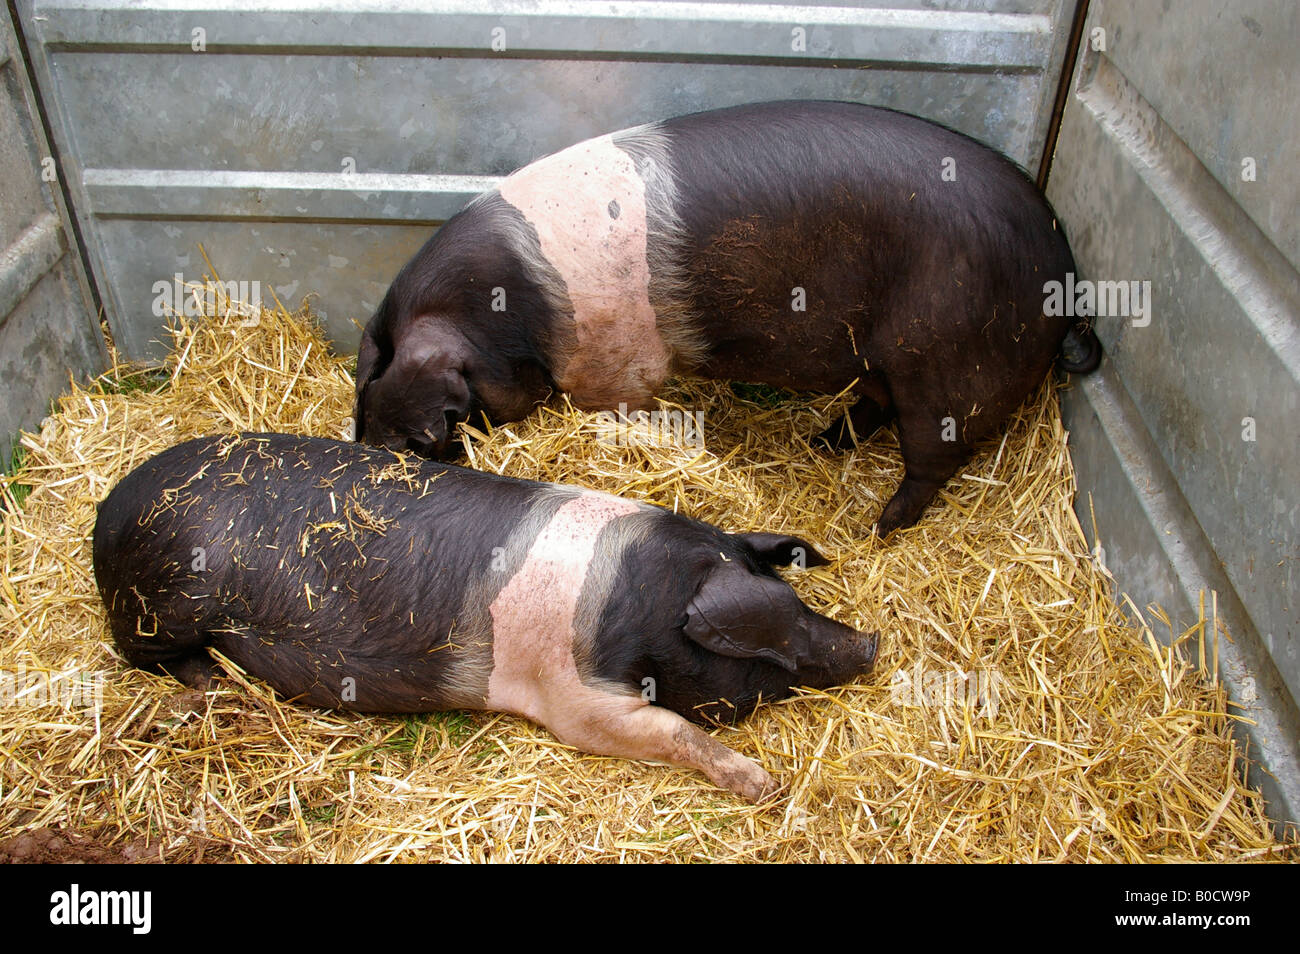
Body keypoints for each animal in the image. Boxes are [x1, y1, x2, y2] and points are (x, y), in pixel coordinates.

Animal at [96, 436, 878, 805]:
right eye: (767, 644)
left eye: (799, 601)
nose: (871, 643)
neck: (636, 603)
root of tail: (105, 511)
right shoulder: (574, 702)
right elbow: (676, 733)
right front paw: (765, 785)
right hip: (165, 603)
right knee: (155, 656)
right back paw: (216, 691)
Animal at [353, 102, 1097, 540]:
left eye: (415, 437)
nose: (370, 451)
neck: (512, 305)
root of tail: (1064, 275)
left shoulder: (622, 364)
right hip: (887, 358)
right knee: (874, 404)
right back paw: (822, 445)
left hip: (945, 364)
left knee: (932, 457)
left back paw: (878, 527)